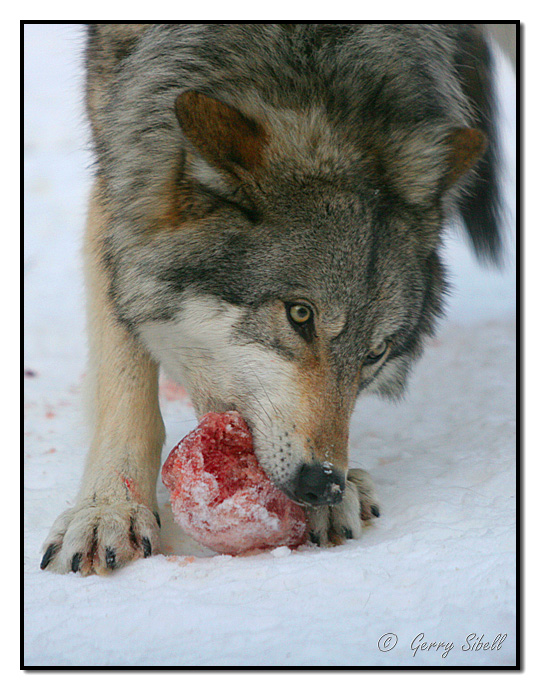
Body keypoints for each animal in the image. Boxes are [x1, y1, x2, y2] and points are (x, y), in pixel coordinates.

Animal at [41, 22, 502, 576]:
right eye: (299, 314)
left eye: (375, 353)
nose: (323, 483)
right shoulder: (124, 172)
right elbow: (126, 378)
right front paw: (109, 509)